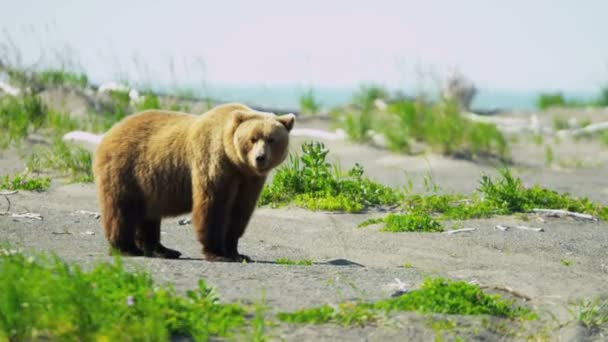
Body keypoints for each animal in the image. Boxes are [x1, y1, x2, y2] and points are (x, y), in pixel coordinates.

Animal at [91, 103, 296, 260]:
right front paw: (218, 253)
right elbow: (213, 206)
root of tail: (109, 132)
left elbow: (239, 211)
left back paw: (163, 250)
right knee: (122, 210)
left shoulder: (249, 181)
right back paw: (127, 248)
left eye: (271, 139)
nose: (260, 158)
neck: (235, 162)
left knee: (148, 215)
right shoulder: (215, 162)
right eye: (253, 139)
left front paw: (237, 252)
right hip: (125, 169)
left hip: (148, 183)